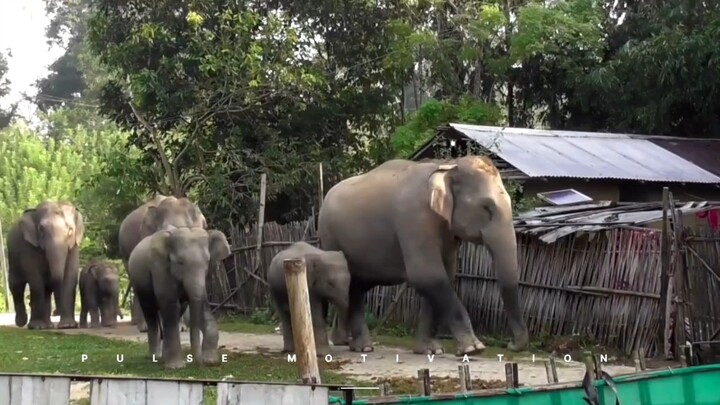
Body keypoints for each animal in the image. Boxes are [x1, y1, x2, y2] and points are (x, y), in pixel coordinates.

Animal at [7, 201, 85, 329]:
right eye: (41, 229)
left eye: (70, 230)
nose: (56, 312)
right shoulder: (29, 246)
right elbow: (36, 280)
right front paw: (36, 327)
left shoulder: (74, 246)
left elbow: (70, 276)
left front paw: (67, 325)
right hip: (12, 257)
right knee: (16, 285)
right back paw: (23, 323)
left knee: (46, 290)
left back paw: (48, 326)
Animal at [127, 226, 231, 369]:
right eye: (180, 262)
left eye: (207, 262)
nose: (198, 363)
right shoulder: (159, 267)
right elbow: (170, 303)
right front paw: (176, 367)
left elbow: (203, 303)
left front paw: (211, 361)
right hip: (139, 284)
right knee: (150, 312)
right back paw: (155, 356)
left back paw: (163, 357)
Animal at [317, 156, 529, 356]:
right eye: (486, 207)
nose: (510, 345)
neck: (447, 165)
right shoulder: (414, 218)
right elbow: (427, 276)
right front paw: (473, 349)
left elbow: (444, 276)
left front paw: (431, 351)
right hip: (330, 237)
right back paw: (359, 347)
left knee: (356, 287)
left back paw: (353, 344)